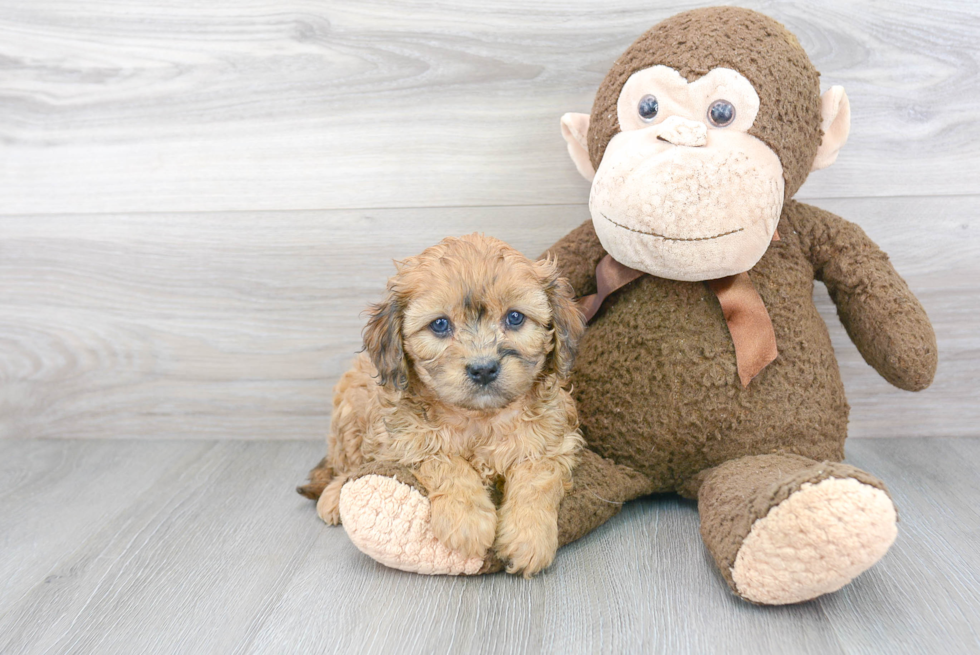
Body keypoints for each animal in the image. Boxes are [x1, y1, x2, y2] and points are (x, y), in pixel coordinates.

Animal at [298, 233, 584, 576]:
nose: (484, 369)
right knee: (344, 466)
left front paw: (529, 536)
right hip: (350, 416)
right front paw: (468, 521)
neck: (480, 418)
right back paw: (331, 497)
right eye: (439, 325)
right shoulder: (405, 439)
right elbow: (446, 460)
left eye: (514, 317)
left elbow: (537, 479)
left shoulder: (552, 442)